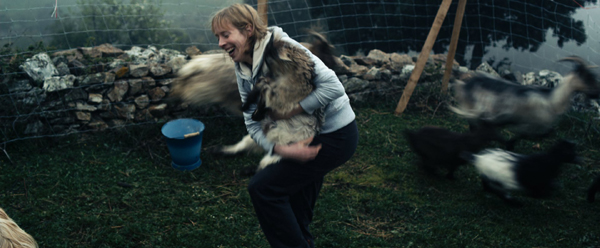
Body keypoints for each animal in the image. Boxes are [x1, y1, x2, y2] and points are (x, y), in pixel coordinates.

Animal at [450, 56, 600, 149]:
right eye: (588, 77)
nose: (596, 92)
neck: (551, 99)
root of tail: (465, 85)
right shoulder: (529, 124)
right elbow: (531, 134)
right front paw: (510, 144)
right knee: (478, 126)